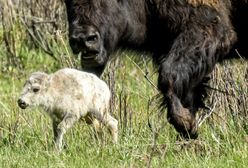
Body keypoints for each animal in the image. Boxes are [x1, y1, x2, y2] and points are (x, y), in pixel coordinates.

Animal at [65, 0, 248, 139]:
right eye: (67, 0)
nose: (83, 39)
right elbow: (186, 92)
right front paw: (189, 129)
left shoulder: (207, 30)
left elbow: (168, 76)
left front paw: (185, 124)